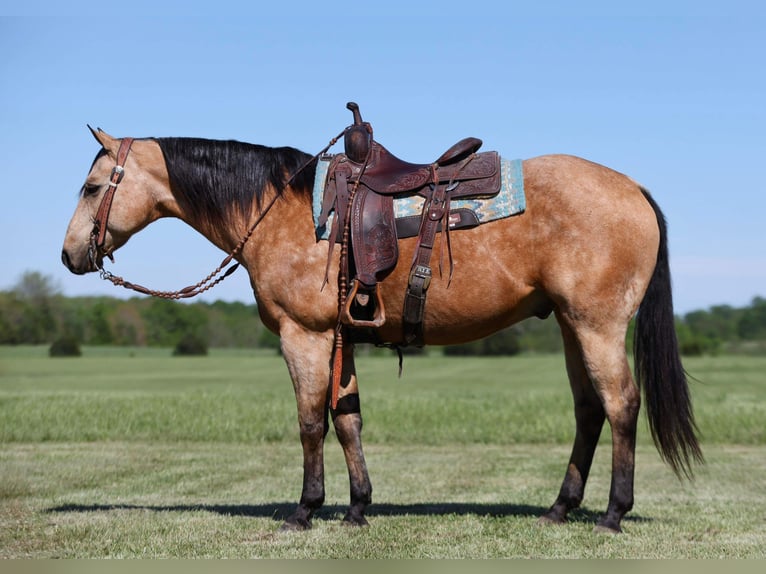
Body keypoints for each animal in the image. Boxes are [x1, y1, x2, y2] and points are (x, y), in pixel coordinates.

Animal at [63, 109, 704, 536]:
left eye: (92, 186)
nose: (70, 255)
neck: (280, 209)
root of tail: (632, 188)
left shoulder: (304, 336)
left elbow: (310, 424)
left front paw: (305, 509)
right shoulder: (340, 337)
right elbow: (348, 420)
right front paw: (356, 507)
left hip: (597, 326)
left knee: (620, 405)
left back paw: (613, 514)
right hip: (572, 326)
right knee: (589, 410)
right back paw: (559, 508)